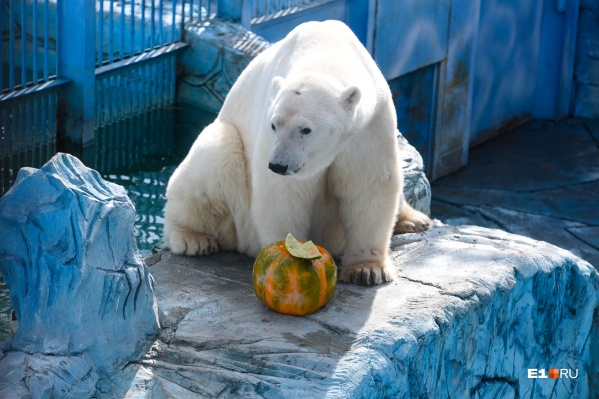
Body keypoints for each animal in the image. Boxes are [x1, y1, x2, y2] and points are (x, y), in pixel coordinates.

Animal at [164, 20, 432, 286]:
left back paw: (414, 219)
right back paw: (192, 238)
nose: (277, 165)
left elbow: (368, 183)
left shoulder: (368, 127)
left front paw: (367, 270)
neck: (326, 51)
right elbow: (283, 194)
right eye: (274, 125)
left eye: (305, 129)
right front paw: (291, 257)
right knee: (214, 156)